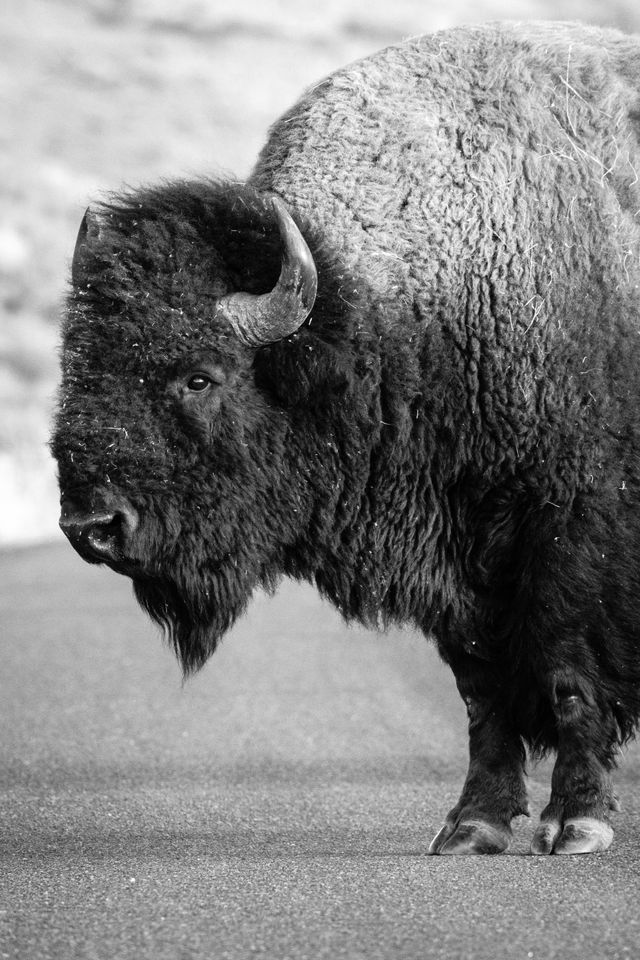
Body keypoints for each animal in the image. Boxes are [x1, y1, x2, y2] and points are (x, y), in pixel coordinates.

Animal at [51, 20, 640, 856]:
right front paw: (473, 824)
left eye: (200, 377)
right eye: (77, 365)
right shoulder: (459, 561)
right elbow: (482, 690)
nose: (92, 525)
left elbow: (567, 673)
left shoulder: (571, 527)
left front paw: (579, 822)